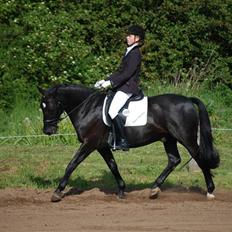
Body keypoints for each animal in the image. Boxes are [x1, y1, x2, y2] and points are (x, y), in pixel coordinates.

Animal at [38, 84, 219, 202]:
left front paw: (58, 192)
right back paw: (154, 189)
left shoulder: (90, 143)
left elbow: (72, 164)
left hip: (186, 138)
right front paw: (121, 190)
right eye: (42, 106)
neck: (88, 107)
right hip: (168, 138)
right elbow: (112, 165)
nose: (48, 130)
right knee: (174, 160)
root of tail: (187, 100)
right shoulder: (102, 146)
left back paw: (210, 191)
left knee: (200, 159)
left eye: (52, 105)